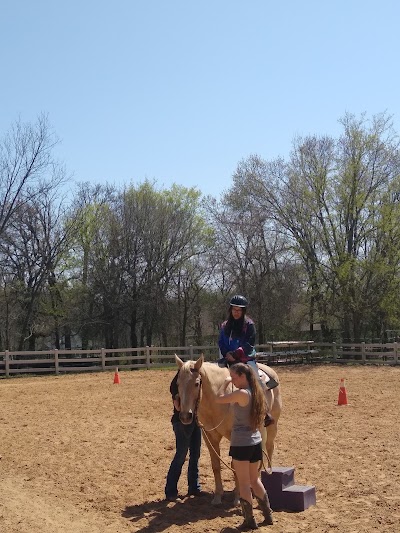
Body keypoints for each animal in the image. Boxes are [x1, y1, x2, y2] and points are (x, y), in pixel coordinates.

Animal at [175, 354, 282, 502]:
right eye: (178, 384)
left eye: (196, 383)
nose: (185, 416)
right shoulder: (209, 436)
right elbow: (216, 465)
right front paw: (218, 496)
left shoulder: (234, 436)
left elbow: (235, 464)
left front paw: (237, 497)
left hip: (272, 426)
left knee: (269, 449)